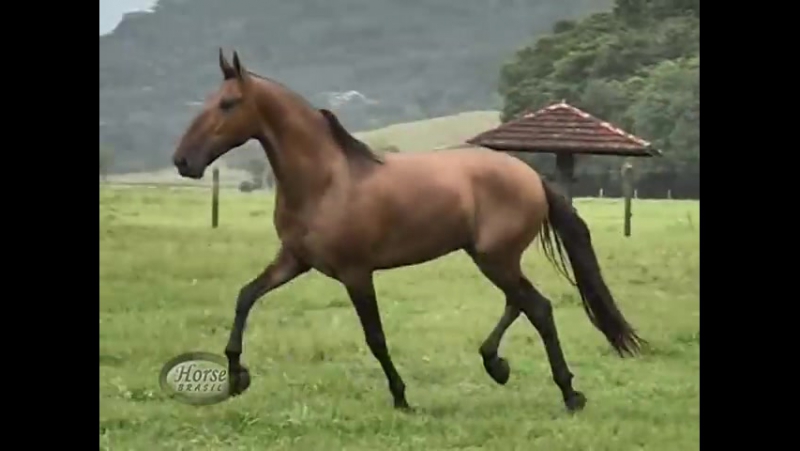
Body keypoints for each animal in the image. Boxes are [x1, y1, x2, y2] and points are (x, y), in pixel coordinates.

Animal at [171, 49, 645, 413]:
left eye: (229, 103)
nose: (182, 161)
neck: (326, 181)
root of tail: (532, 177)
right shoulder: (294, 260)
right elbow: (245, 296)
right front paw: (237, 376)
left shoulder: (356, 272)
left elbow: (375, 337)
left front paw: (401, 397)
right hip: (492, 257)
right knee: (523, 303)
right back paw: (497, 364)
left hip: (495, 258)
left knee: (539, 308)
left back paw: (568, 393)